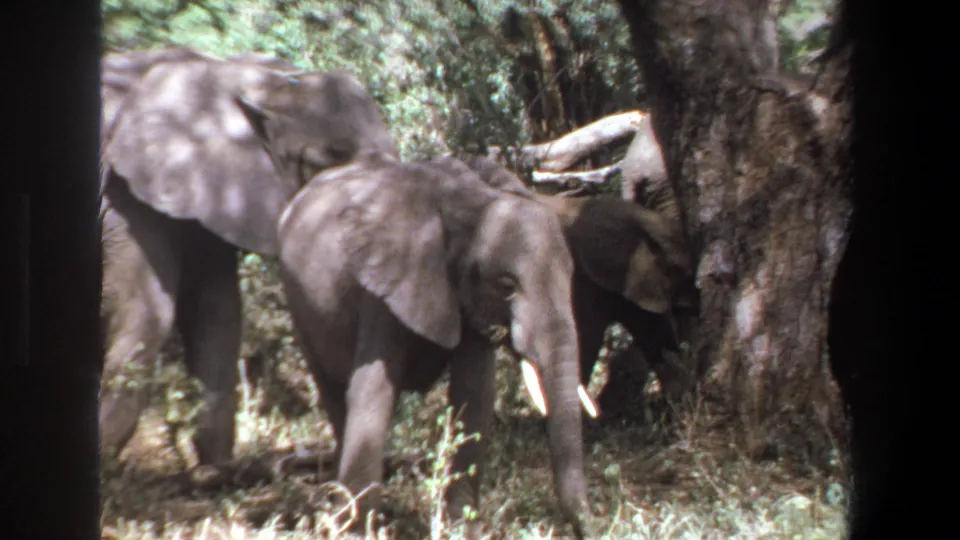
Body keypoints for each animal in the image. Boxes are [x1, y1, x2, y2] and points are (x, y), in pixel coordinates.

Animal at [276, 153, 595, 538]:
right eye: (506, 287)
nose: (589, 526)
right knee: (333, 392)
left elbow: (473, 394)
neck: (472, 203)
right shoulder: (384, 283)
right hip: (297, 301)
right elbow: (374, 390)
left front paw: (462, 529)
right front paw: (357, 531)